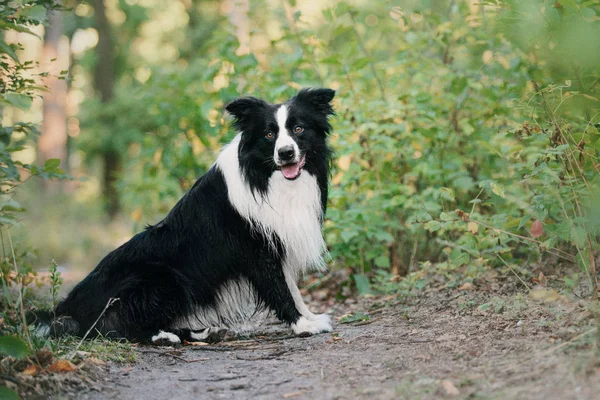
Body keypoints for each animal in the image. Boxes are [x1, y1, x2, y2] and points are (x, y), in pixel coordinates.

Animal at [39, 89, 336, 346]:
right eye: (269, 134)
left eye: (298, 129)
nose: (286, 153)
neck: (266, 177)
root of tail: (68, 307)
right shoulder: (257, 250)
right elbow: (280, 290)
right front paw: (303, 325)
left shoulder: (278, 242)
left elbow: (293, 289)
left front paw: (309, 317)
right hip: (164, 278)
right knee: (107, 326)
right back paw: (164, 336)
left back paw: (202, 332)